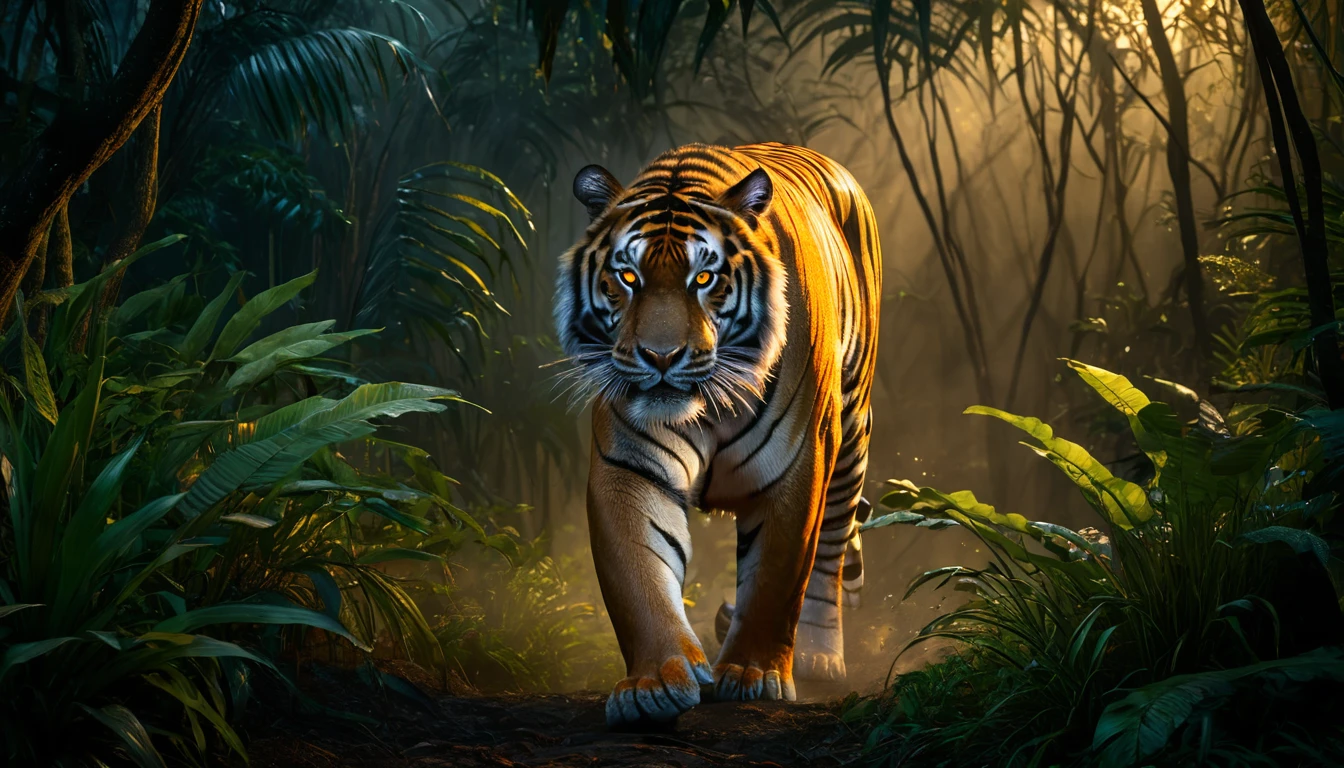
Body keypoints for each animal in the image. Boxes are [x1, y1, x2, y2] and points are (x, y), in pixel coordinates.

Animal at [553, 142, 881, 726]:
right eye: (628, 278)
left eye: (703, 280)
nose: (660, 357)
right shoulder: (628, 468)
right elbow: (639, 575)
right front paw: (655, 682)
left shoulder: (797, 464)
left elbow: (775, 580)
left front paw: (754, 675)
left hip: (850, 437)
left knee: (832, 548)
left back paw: (819, 657)